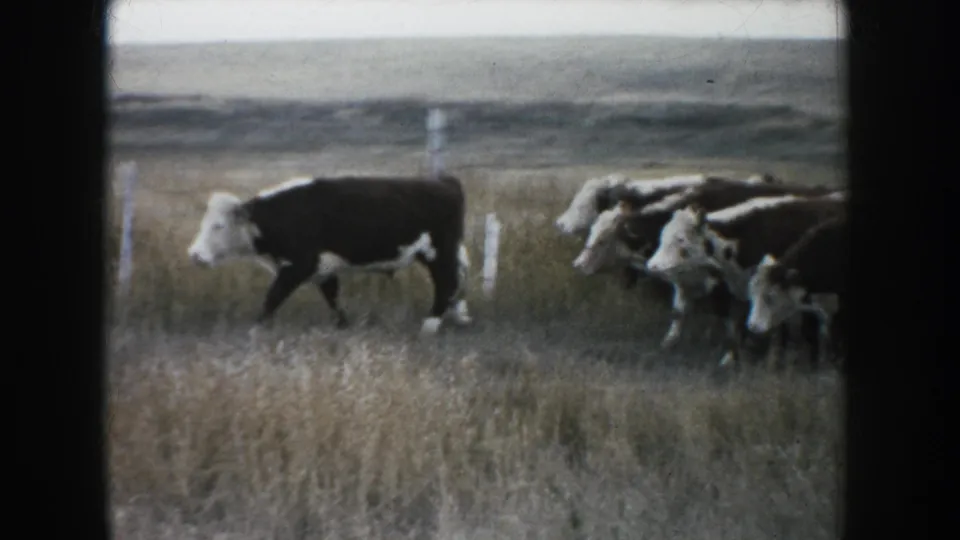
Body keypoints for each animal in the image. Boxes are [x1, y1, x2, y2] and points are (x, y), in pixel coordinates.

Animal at [186, 174, 472, 336]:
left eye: (218, 226)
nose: (195, 255)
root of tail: (446, 183)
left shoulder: (297, 266)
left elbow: (272, 299)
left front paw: (255, 331)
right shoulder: (323, 269)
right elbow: (333, 299)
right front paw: (343, 325)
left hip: (439, 254)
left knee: (446, 284)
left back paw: (430, 325)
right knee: (457, 280)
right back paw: (459, 316)